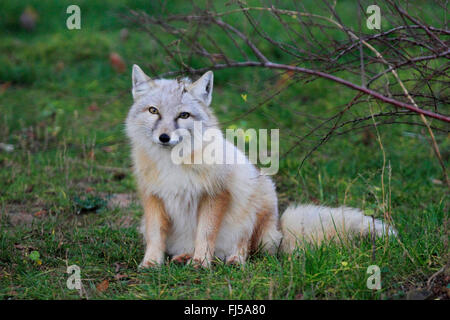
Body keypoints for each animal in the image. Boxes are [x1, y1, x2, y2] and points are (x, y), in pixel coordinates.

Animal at [125, 64, 396, 268]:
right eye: (153, 111)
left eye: (183, 115)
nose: (164, 137)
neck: (173, 165)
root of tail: (280, 229)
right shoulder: (153, 197)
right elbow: (156, 236)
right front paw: (151, 263)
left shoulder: (215, 194)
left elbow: (205, 233)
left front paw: (201, 262)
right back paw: (184, 256)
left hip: (257, 200)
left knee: (246, 248)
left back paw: (233, 260)